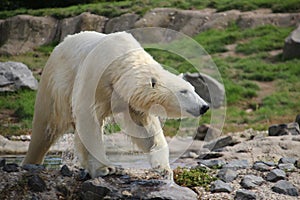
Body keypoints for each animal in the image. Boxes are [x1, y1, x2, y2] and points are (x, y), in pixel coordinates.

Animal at [22, 31, 210, 178]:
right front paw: (106, 168)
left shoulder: (130, 101)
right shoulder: (96, 79)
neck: (120, 64)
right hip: (56, 82)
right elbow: (88, 118)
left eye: (193, 89)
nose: (204, 106)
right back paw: (31, 161)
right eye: (183, 91)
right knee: (45, 125)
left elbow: (146, 130)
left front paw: (163, 168)